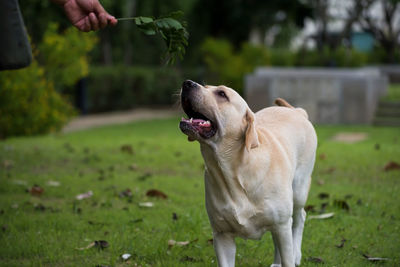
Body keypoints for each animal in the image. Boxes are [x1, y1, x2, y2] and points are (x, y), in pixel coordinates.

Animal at [180, 80, 318, 267]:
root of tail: (297, 111)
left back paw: (296, 254)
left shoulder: (282, 223)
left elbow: (287, 255)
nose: (187, 83)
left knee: (300, 218)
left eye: (222, 94)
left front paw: (291, 258)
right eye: (205, 86)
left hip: (298, 190)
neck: (233, 171)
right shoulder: (222, 236)